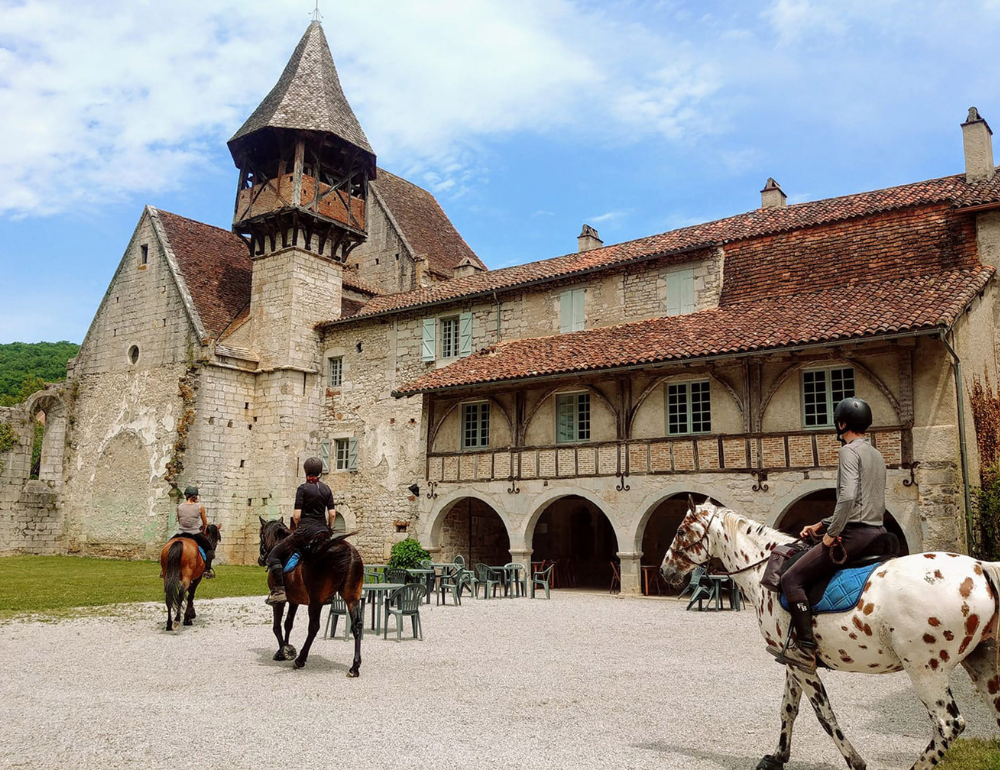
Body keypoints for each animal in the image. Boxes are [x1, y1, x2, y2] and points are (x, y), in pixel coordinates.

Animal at [258, 516, 368, 672]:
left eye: (261, 536)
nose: (261, 559)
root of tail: (349, 553)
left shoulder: (279, 603)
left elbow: (277, 627)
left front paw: (284, 651)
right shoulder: (294, 601)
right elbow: (288, 624)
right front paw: (284, 649)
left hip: (316, 602)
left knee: (313, 627)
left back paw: (300, 659)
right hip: (352, 598)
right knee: (357, 625)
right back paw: (355, 666)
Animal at [664, 498, 1000, 768]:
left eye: (680, 532)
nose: (665, 571)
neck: (763, 571)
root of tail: (979, 567)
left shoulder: (803, 666)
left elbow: (825, 717)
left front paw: (855, 761)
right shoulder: (794, 661)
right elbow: (788, 709)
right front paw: (777, 757)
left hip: (925, 670)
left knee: (947, 726)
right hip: (982, 662)